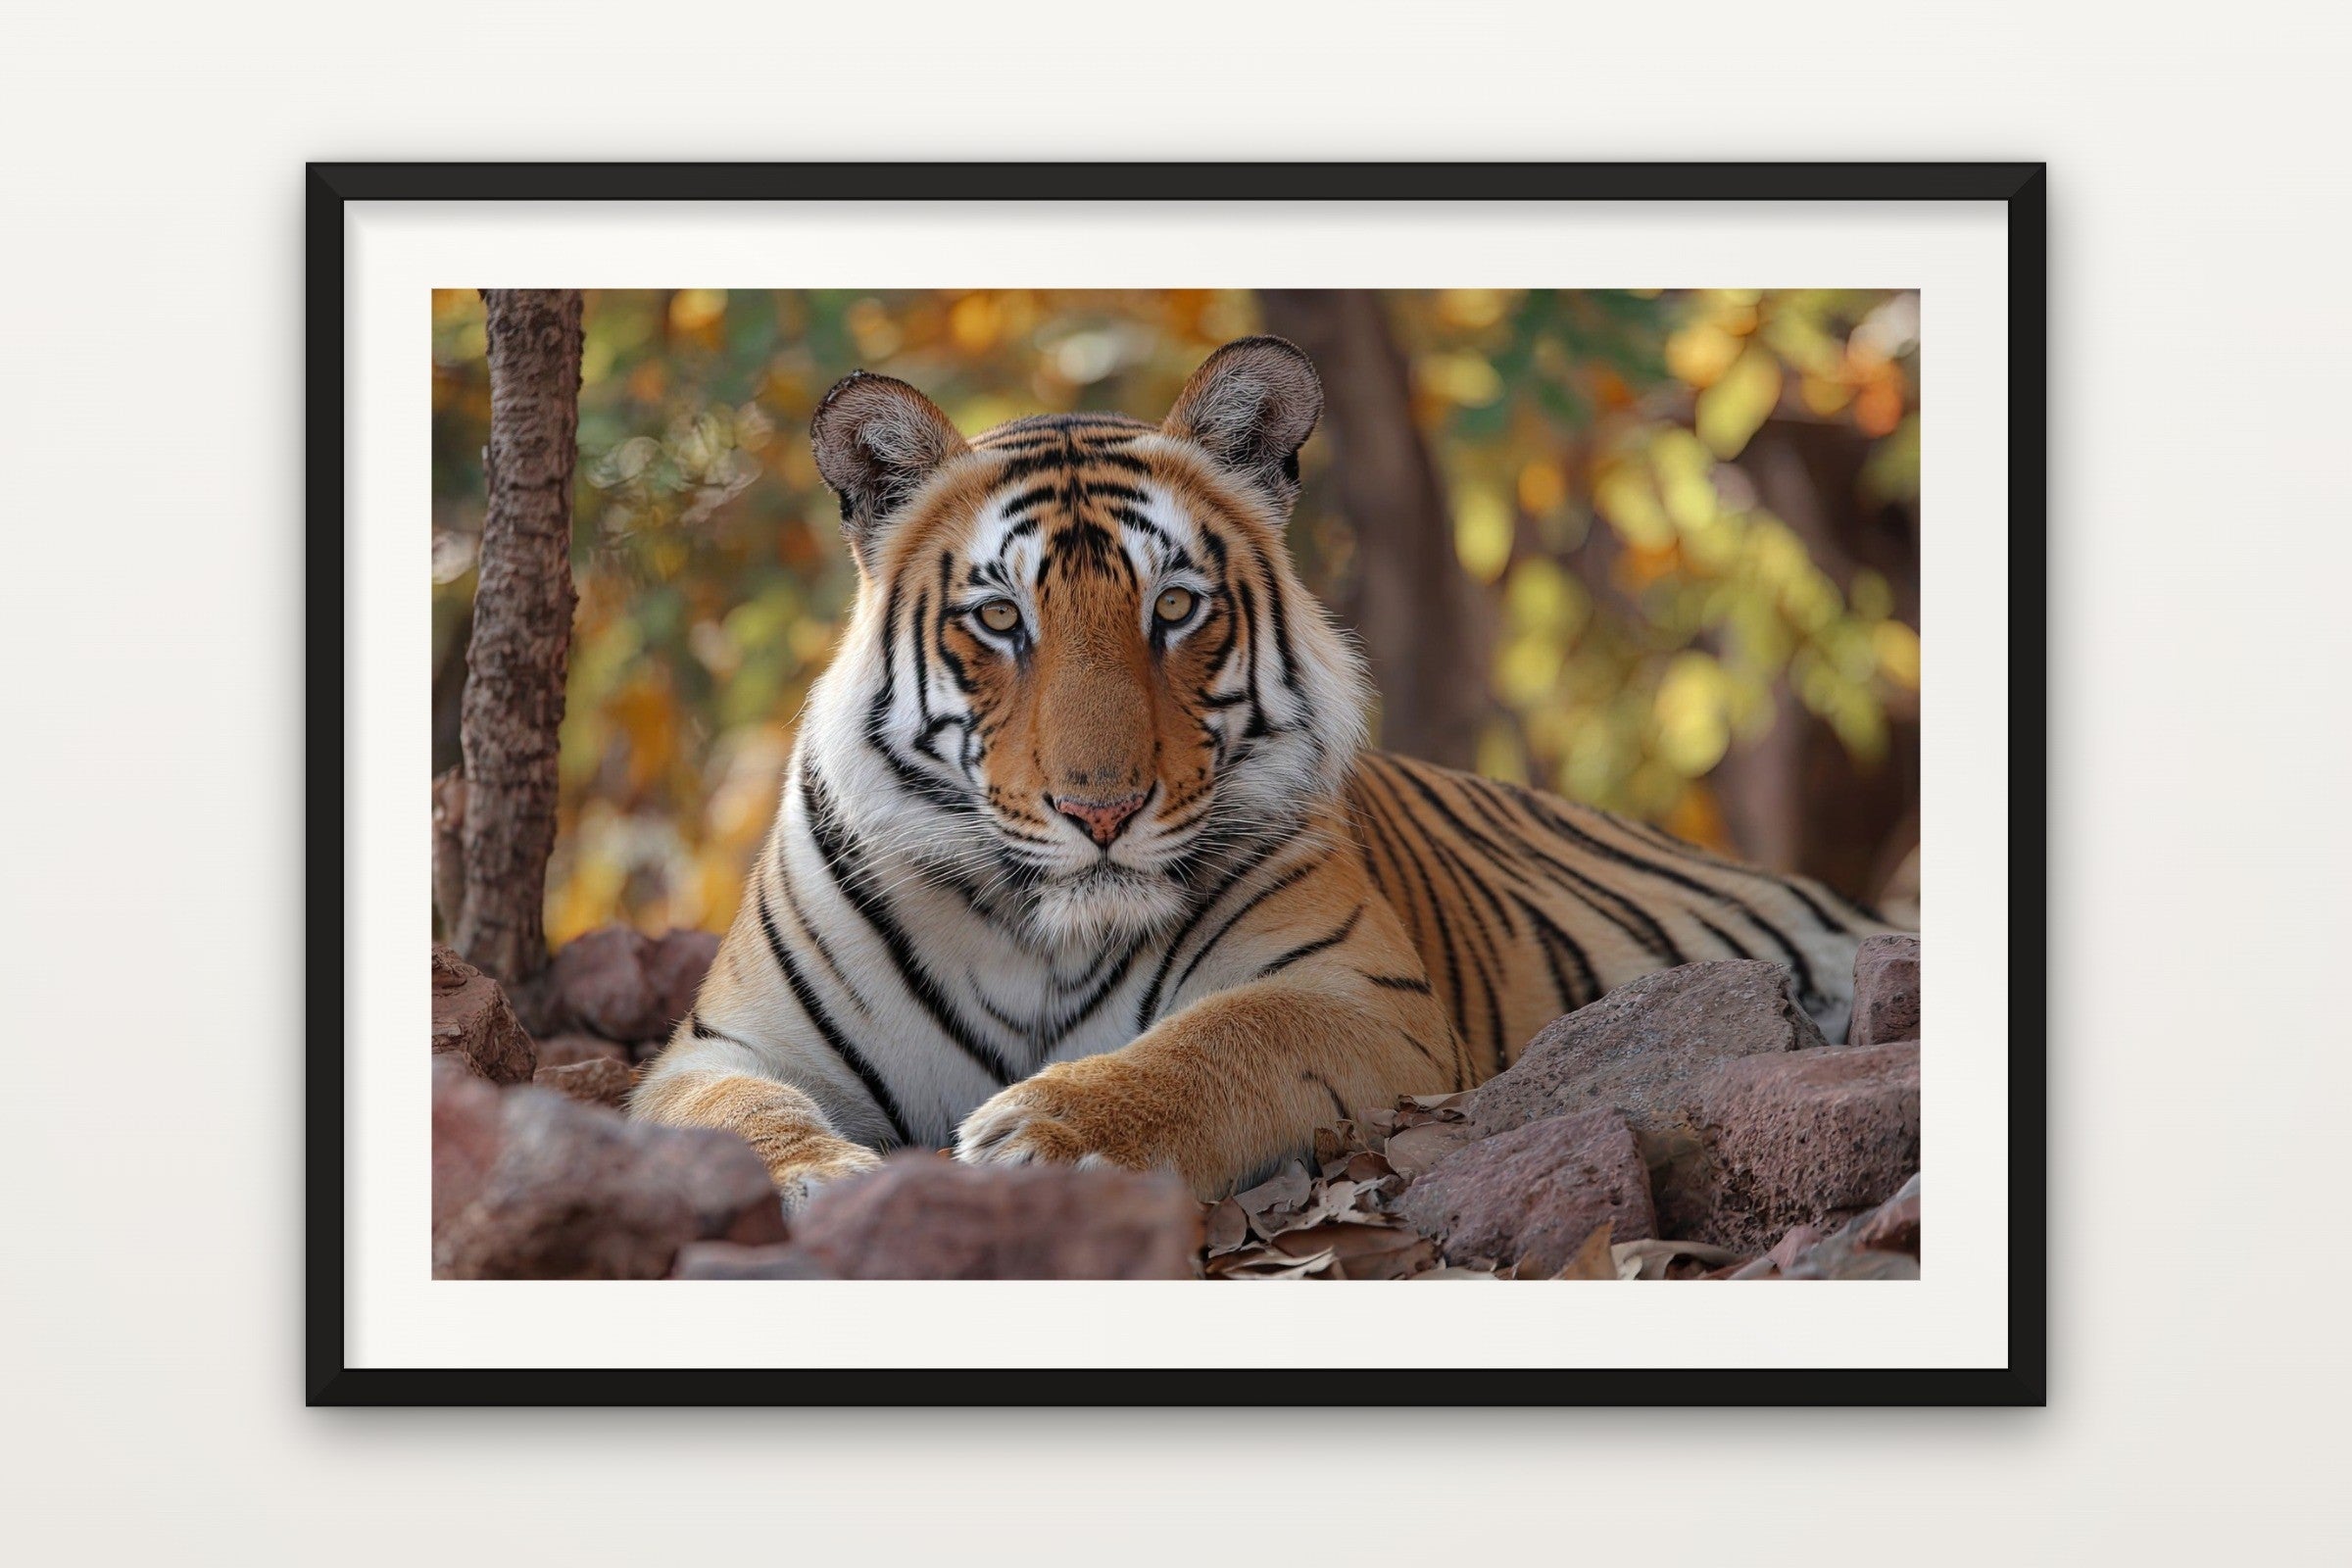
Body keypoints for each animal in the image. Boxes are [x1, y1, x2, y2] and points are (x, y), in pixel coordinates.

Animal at [631, 336, 1892, 1208]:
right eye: (998, 619)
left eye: (1175, 607)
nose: (1100, 809)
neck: (1039, 940)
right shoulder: (727, 1044)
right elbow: (738, 1111)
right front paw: (820, 1180)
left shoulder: (1354, 994)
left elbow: (1216, 1047)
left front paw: (1041, 1133)